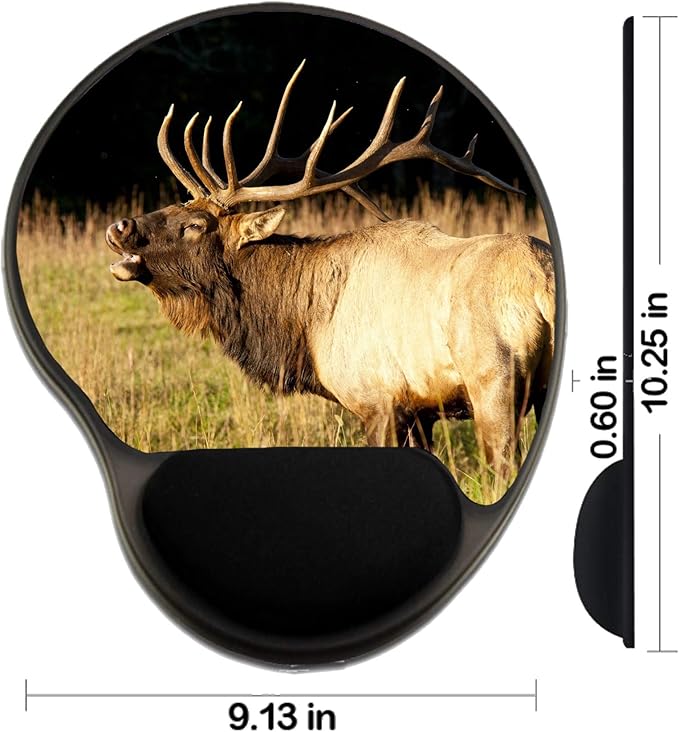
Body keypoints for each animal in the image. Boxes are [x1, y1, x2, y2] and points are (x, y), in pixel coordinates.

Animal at [105, 61, 555, 479]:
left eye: (195, 225)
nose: (120, 227)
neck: (304, 327)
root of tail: (541, 283)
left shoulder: (378, 400)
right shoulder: (419, 411)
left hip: (493, 379)